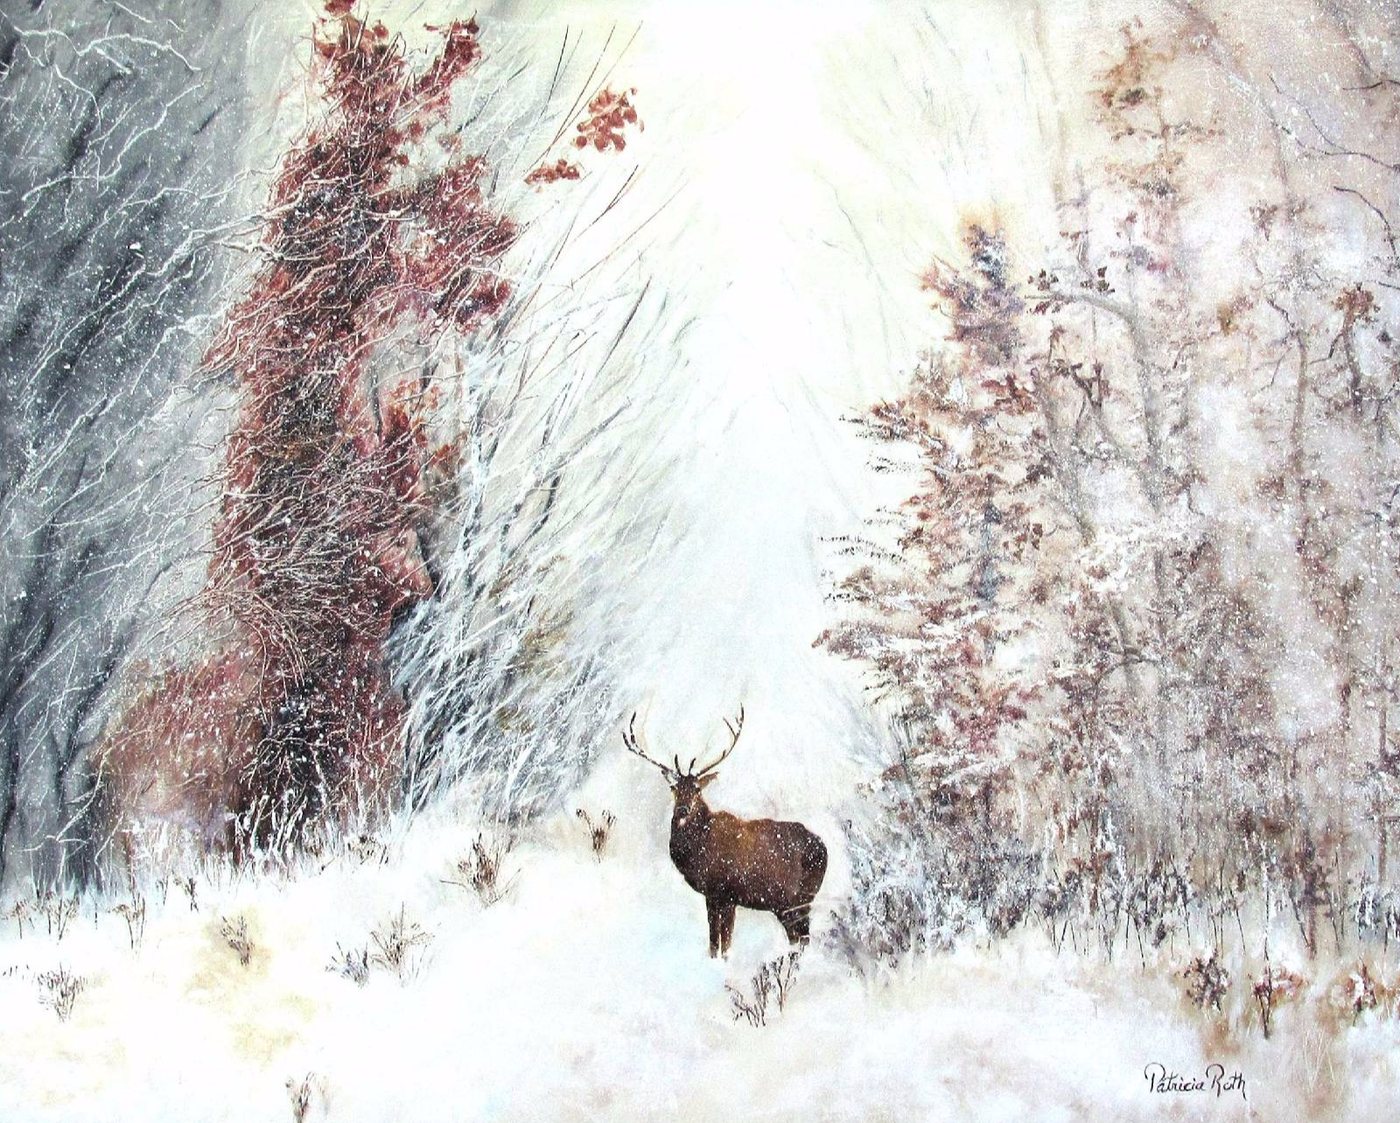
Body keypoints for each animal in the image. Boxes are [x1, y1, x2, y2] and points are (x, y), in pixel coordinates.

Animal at [624, 707, 827, 958]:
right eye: (674, 788)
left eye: (697, 789)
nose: (682, 810)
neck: (698, 854)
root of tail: (824, 848)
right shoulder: (712, 896)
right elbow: (713, 942)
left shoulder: (729, 893)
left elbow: (725, 942)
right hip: (785, 904)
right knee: (797, 937)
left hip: (801, 896)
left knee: (804, 937)